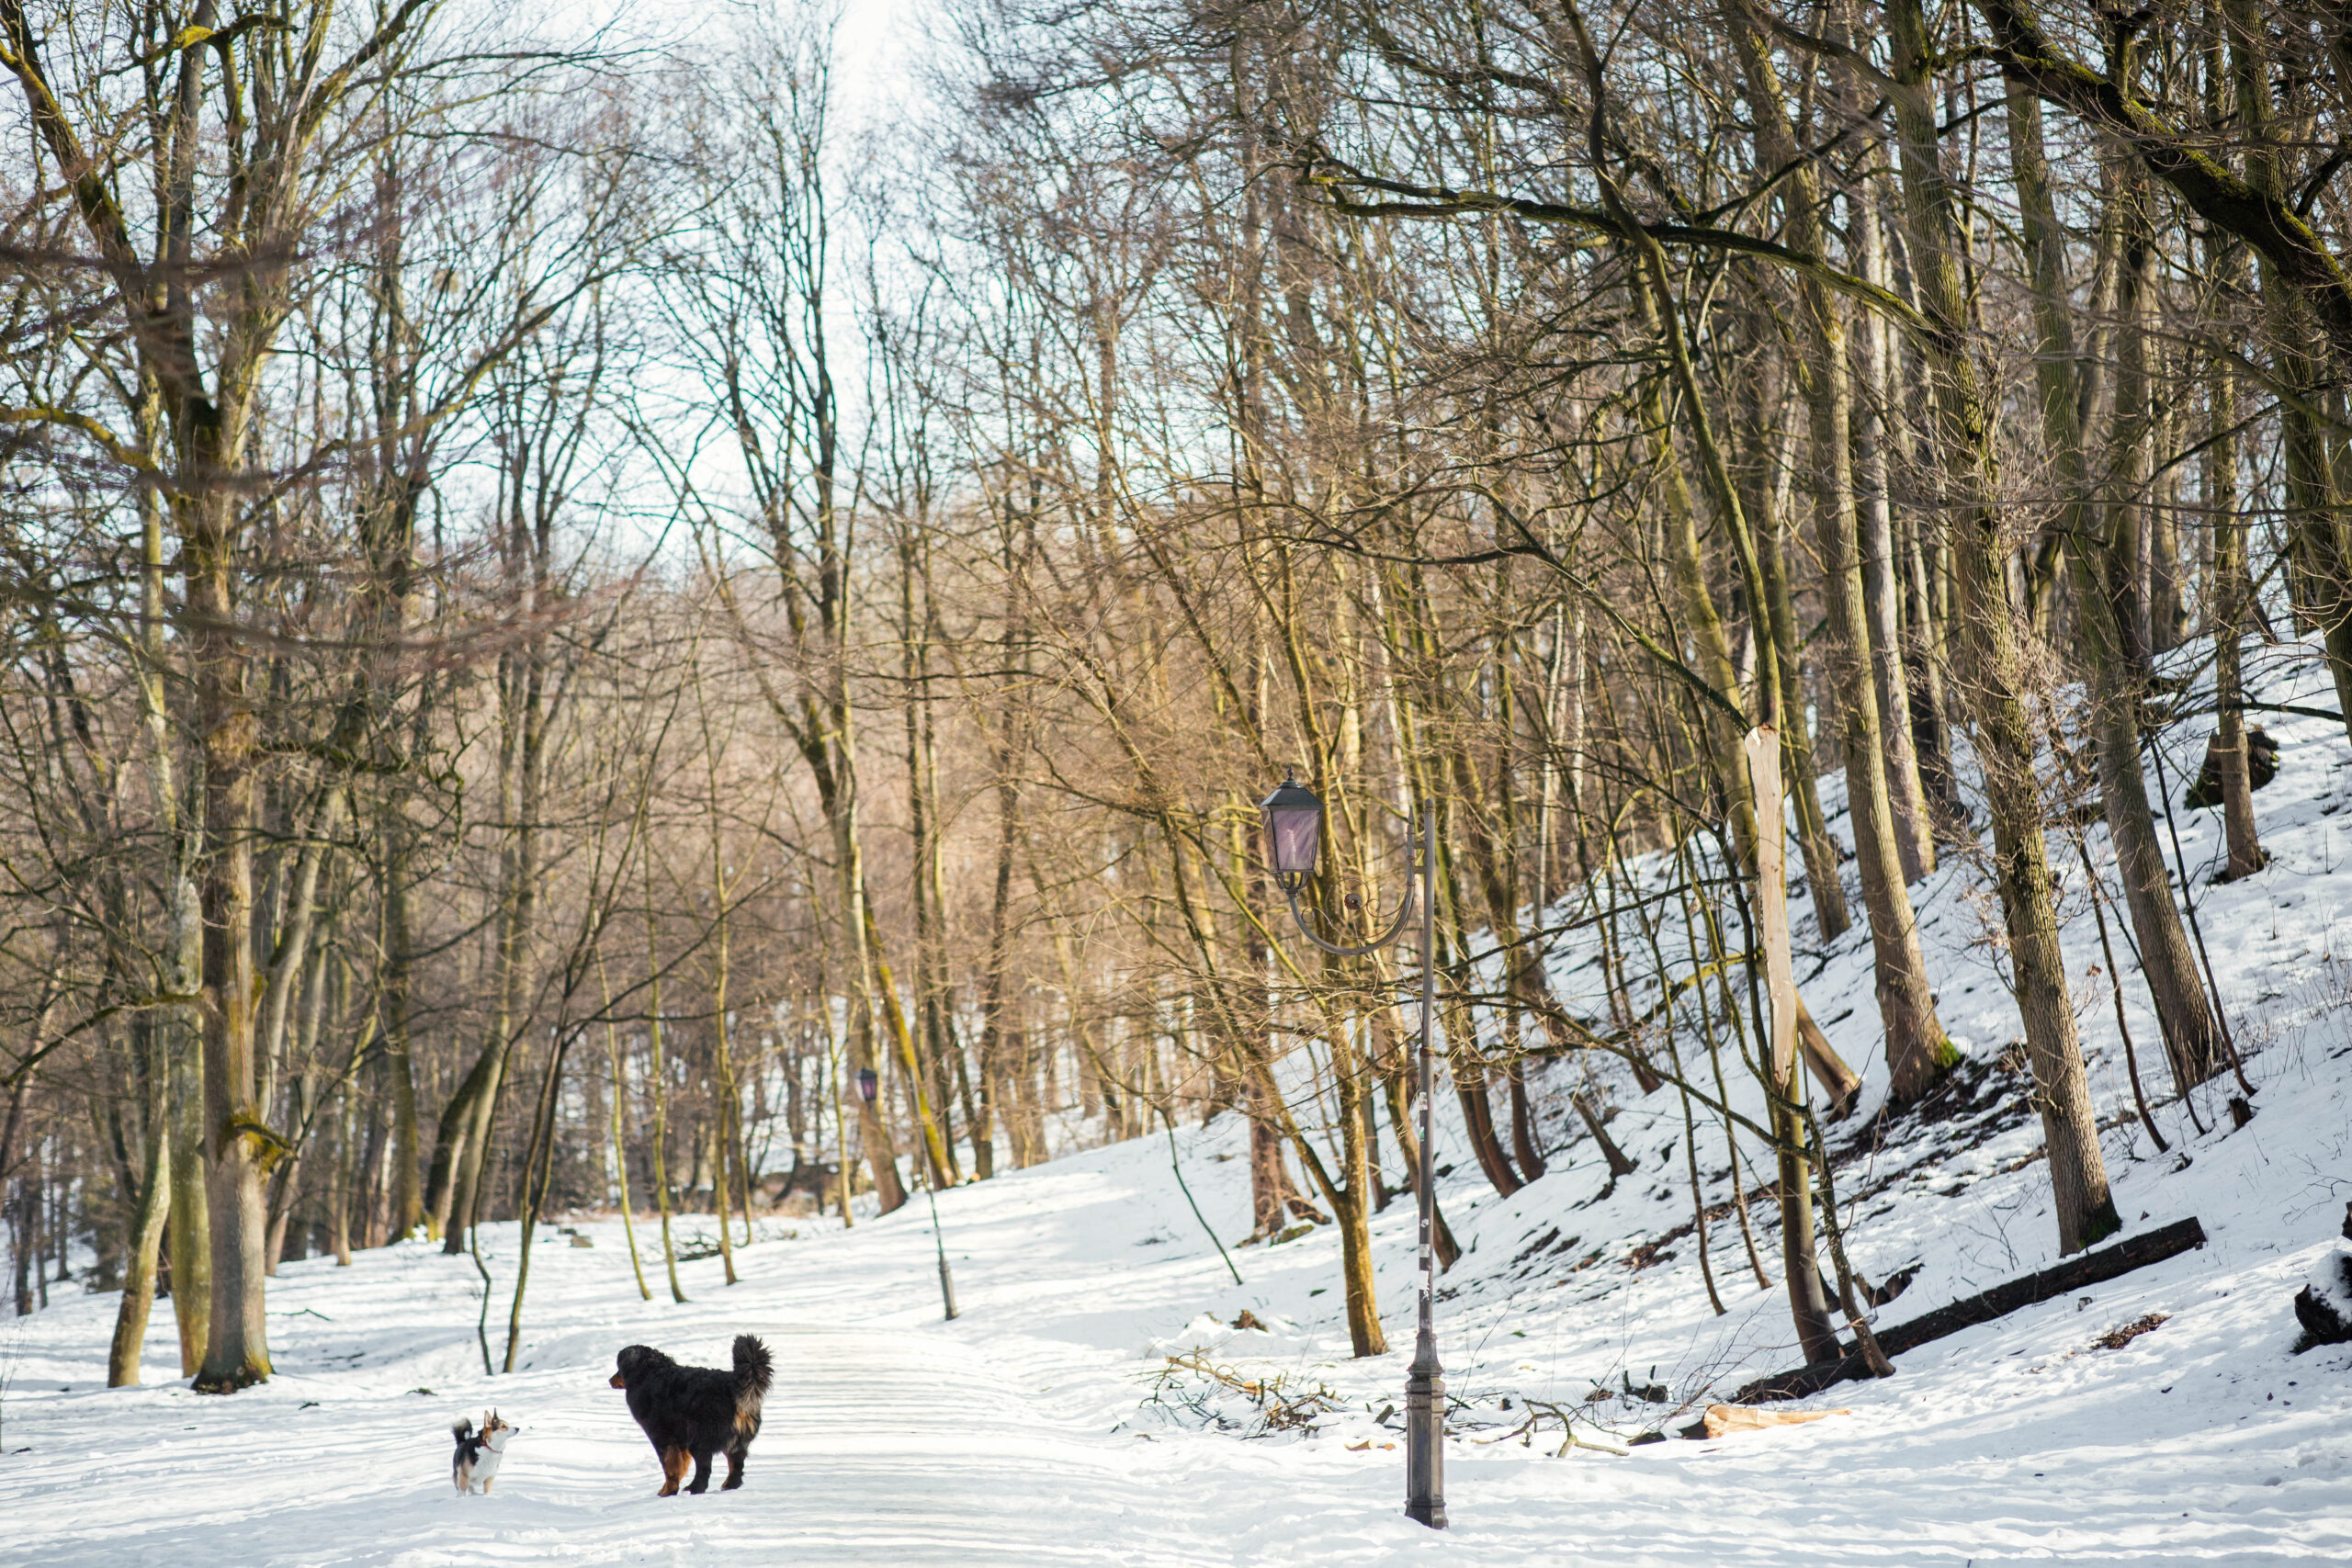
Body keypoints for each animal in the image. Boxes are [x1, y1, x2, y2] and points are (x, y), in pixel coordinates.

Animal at [606, 1335, 771, 1495]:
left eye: (618, 1369)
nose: (610, 1380)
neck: (648, 1373)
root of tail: (732, 1386)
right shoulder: (679, 1440)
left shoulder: (661, 1437)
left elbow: (669, 1467)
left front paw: (667, 1491)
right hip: (735, 1442)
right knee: (736, 1466)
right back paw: (728, 1486)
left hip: (698, 1438)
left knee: (704, 1468)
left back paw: (694, 1488)